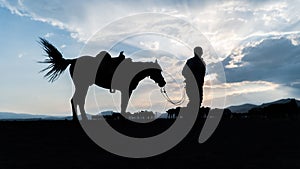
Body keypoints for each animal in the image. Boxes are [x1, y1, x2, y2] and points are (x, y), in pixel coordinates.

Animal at [38, 37, 166, 121]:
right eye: (158, 71)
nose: (163, 82)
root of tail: (73, 60)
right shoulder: (126, 90)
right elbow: (124, 104)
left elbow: (123, 105)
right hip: (82, 85)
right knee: (76, 100)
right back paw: (79, 119)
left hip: (83, 86)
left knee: (79, 100)